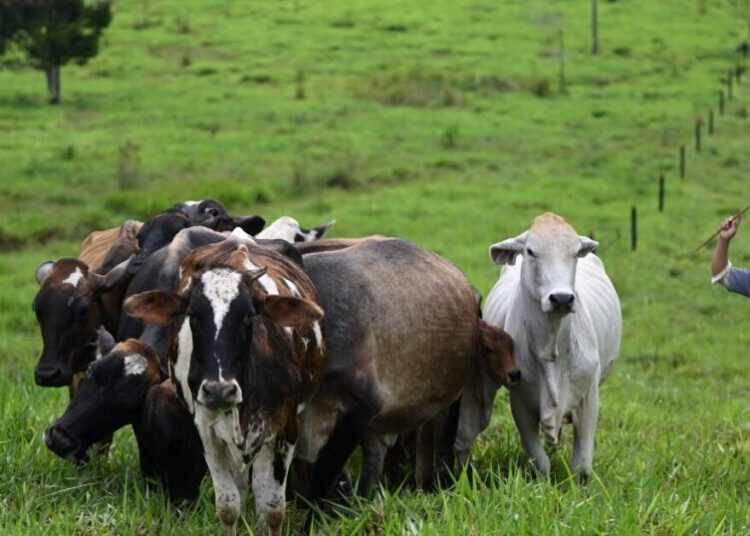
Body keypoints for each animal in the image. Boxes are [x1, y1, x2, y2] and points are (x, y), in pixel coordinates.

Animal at [124, 236, 325, 536]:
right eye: (192, 314)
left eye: (249, 314)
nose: (220, 390)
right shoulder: (208, 432)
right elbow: (228, 506)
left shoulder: (285, 430)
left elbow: (273, 509)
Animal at [483, 212, 621, 479]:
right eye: (530, 251)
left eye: (575, 252)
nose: (562, 298)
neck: (551, 349)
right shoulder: (519, 401)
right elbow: (540, 462)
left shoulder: (589, 398)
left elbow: (581, 466)